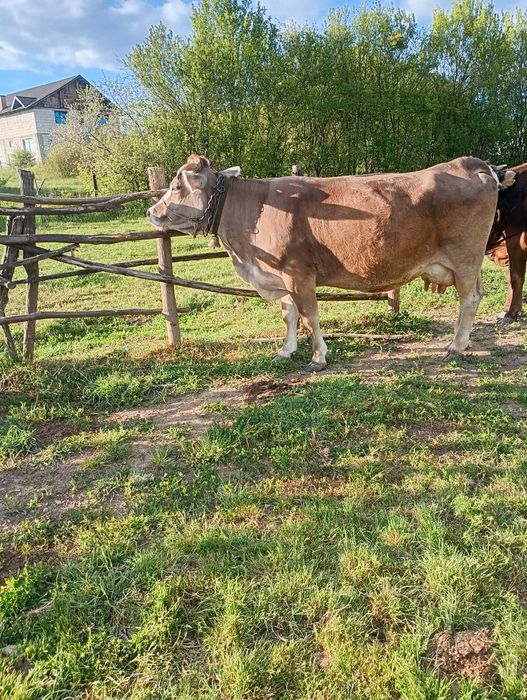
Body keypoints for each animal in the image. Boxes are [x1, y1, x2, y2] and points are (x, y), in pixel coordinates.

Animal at [148, 155, 506, 372]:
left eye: (176, 185)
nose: (151, 211)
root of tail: (469, 163)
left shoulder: (298, 274)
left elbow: (310, 316)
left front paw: (318, 357)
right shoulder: (282, 277)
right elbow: (289, 315)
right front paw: (286, 350)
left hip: (465, 259)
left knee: (469, 299)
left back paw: (456, 346)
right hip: (468, 264)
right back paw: (464, 342)